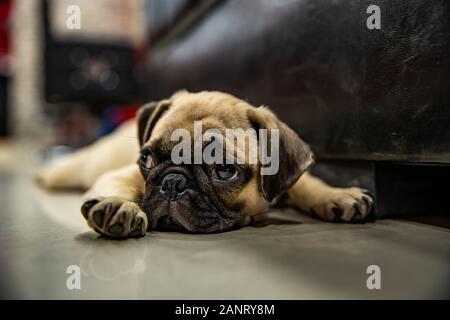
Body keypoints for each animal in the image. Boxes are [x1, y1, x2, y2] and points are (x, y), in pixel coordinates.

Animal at [36, 90, 372, 238]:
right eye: (147, 158)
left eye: (223, 170)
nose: (173, 182)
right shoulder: (123, 173)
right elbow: (119, 186)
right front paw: (120, 205)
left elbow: (306, 183)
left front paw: (337, 194)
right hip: (77, 168)